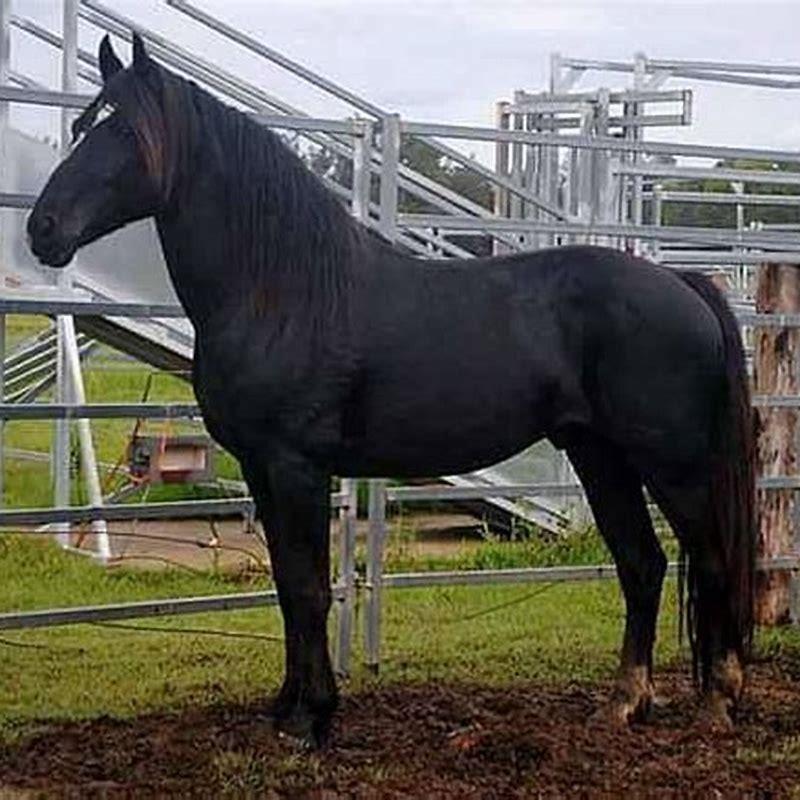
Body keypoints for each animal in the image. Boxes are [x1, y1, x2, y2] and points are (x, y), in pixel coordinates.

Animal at [28, 34, 756, 747]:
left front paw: (314, 720)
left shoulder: (297, 467)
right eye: (85, 124)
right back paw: (624, 705)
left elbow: (309, 588)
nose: (43, 228)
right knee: (643, 564)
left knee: (712, 560)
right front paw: (285, 708)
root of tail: (682, 283)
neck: (283, 292)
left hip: (674, 465)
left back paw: (718, 703)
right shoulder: (260, 469)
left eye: (126, 130)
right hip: (599, 456)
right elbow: (286, 585)